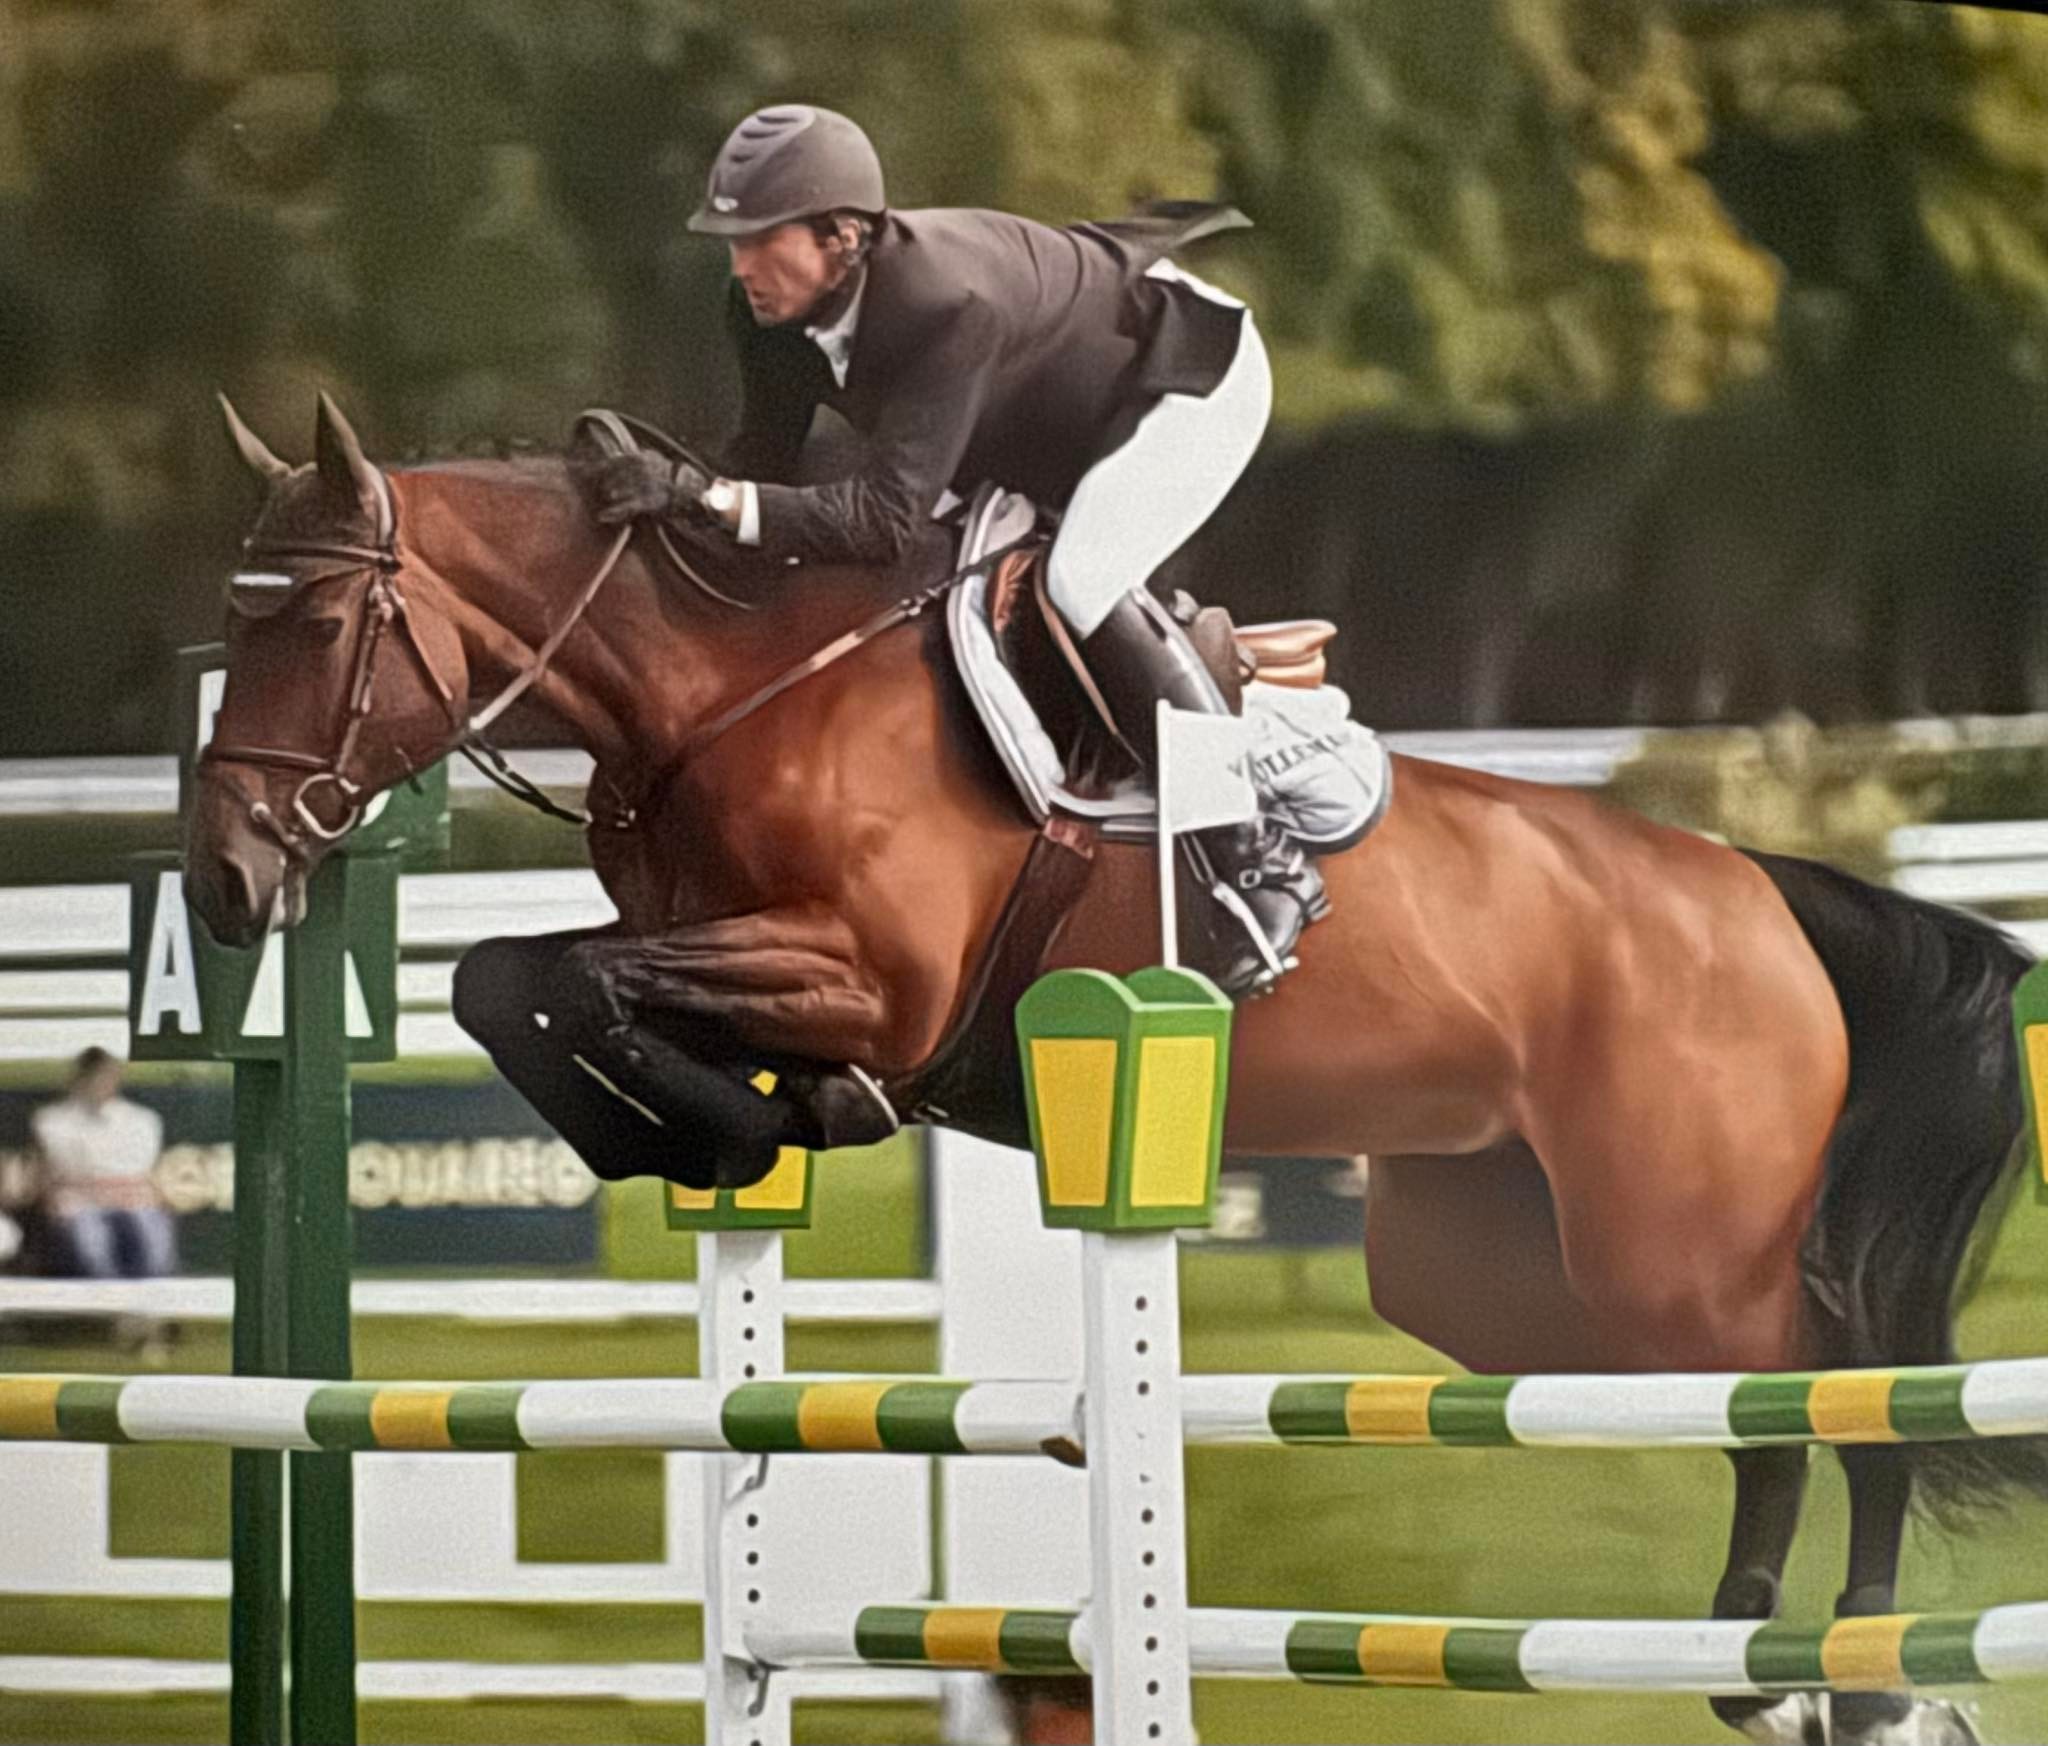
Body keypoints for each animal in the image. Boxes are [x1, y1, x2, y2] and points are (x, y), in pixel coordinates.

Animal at [186, 393, 2045, 1746]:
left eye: (324, 622)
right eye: (231, 628)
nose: (220, 880)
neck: (731, 690)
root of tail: (1758, 889)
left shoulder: (867, 978)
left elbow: (554, 975)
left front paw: (748, 1118)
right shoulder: (748, 960)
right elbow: (519, 981)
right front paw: (716, 1131)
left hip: (1674, 1249)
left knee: (1834, 1394)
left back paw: (1842, 1679)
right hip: (1496, 1275)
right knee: (1759, 1401)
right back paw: (1778, 1664)